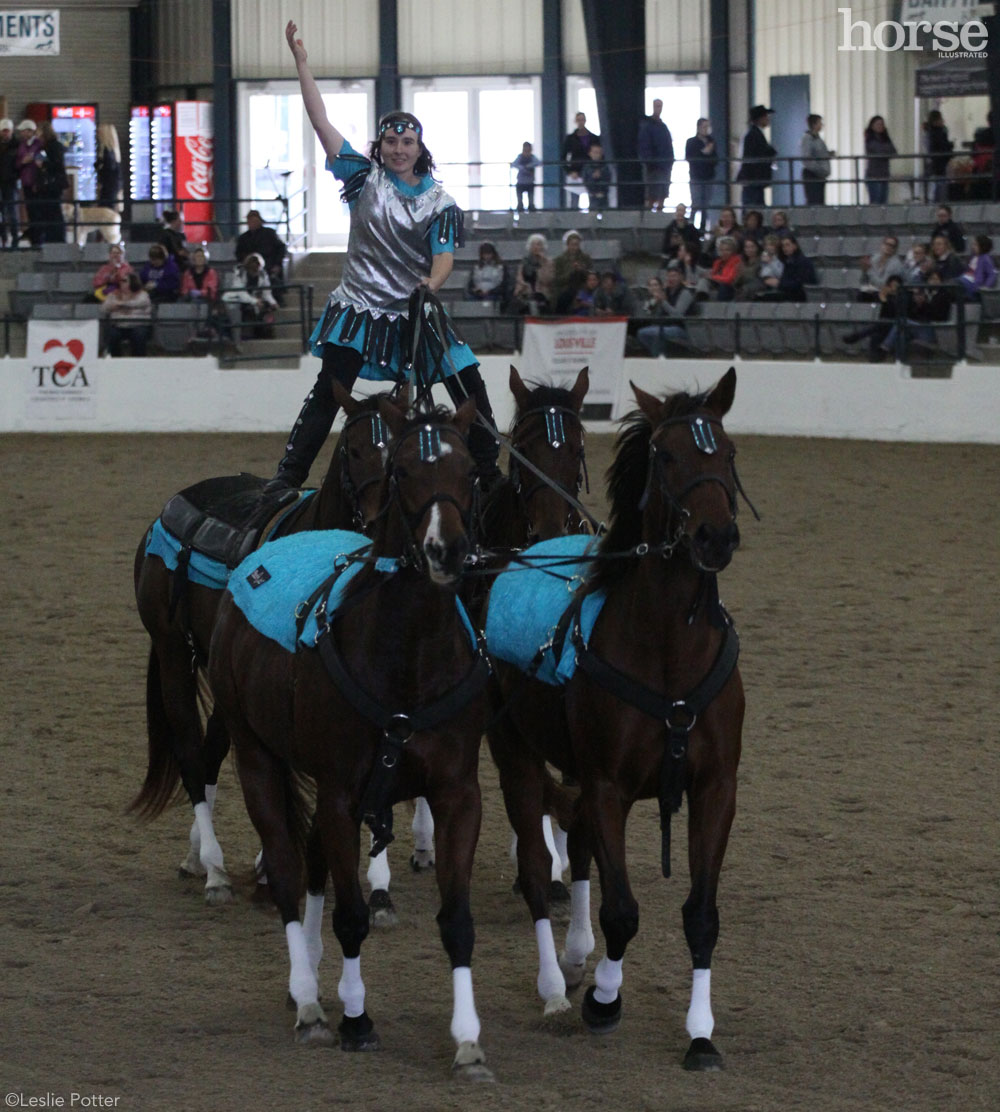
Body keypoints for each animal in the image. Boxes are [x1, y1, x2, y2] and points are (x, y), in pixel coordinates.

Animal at [131, 382, 395, 902]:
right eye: (354, 450)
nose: (380, 522)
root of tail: (165, 515)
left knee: (211, 751)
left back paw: (197, 858)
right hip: (173, 653)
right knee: (191, 752)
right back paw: (214, 870)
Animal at [208, 393, 496, 1076]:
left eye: (471, 470)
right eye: (402, 470)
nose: (446, 549)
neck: (407, 659)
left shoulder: (457, 793)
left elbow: (457, 920)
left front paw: (468, 1041)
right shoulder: (341, 793)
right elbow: (352, 916)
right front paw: (356, 1018)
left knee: (313, 867)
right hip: (255, 755)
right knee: (291, 872)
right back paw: (311, 1003)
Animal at [484, 366, 751, 1067]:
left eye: (728, 453)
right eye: (667, 456)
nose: (716, 537)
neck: (668, 657)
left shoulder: (716, 789)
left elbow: (701, 913)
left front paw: (701, 1033)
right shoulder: (608, 786)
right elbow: (623, 911)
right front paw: (604, 1000)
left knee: (574, 842)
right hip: (512, 748)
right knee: (535, 863)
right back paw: (556, 985)